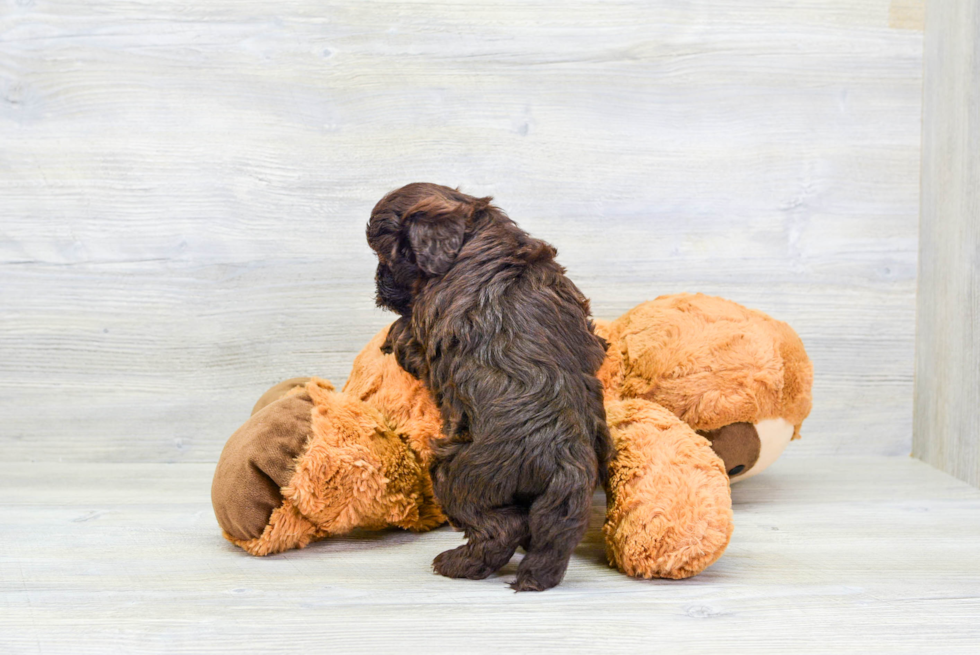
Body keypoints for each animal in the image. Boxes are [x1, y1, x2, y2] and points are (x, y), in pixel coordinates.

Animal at [368, 184, 612, 596]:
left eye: (386, 254)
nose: (378, 281)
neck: (477, 236)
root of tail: (563, 458)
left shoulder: (425, 326)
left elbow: (408, 337)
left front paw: (391, 336)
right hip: (568, 499)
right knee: (553, 537)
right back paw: (537, 576)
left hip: (457, 473)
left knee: (500, 529)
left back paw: (456, 563)